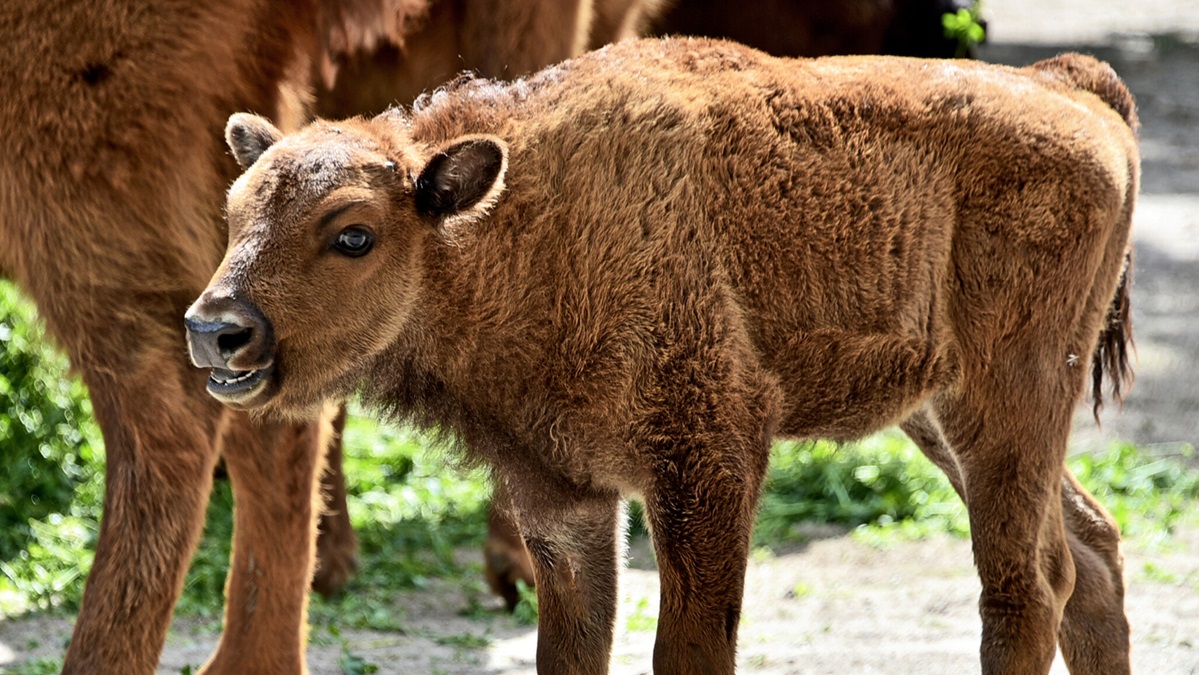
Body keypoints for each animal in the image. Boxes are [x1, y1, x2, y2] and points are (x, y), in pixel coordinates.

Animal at [184, 38, 1131, 675]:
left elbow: (688, 648)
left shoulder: (708, 464)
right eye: (235, 214)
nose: (216, 328)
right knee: (1088, 551)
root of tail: (1068, 89)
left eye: (353, 233)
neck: (510, 225)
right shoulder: (562, 496)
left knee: (1025, 583)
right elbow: (572, 650)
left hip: (1006, 399)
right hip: (941, 415)